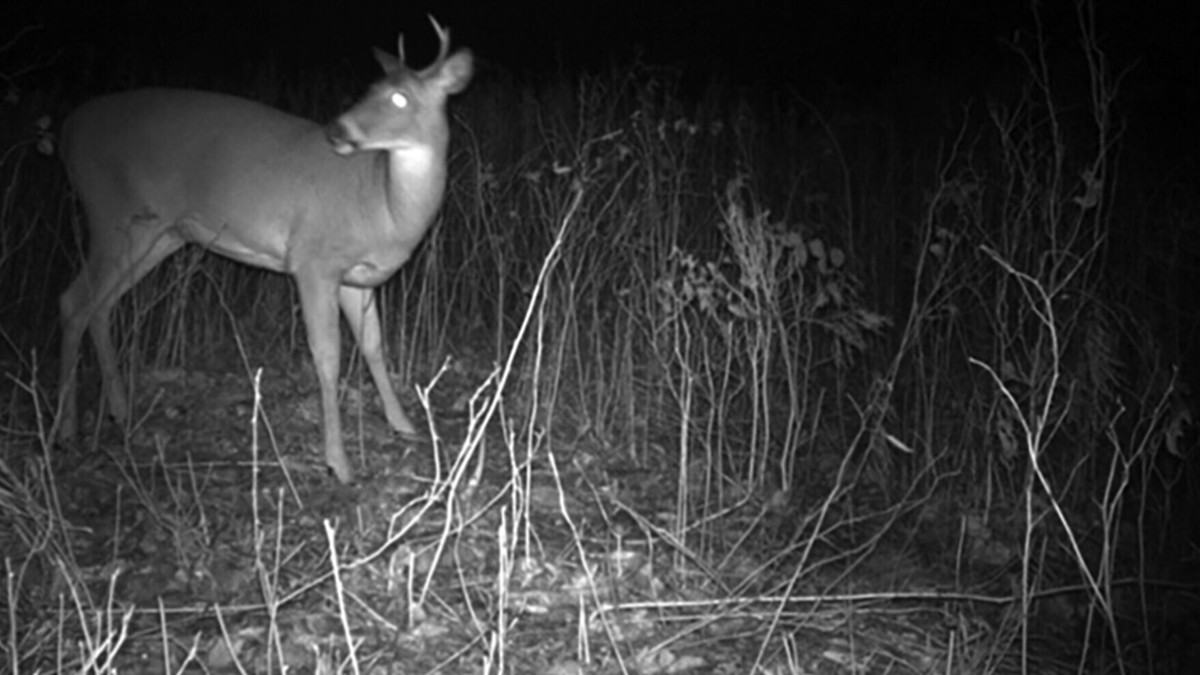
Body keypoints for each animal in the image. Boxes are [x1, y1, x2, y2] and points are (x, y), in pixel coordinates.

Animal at [57, 17, 473, 484]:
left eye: (400, 96)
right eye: (369, 89)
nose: (338, 131)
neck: (383, 206)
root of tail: (67, 130)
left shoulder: (358, 278)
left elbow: (374, 346)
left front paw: (405, 425)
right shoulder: (313, 260)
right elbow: (328, 356)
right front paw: (339, 462)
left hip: (160, 233)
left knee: (100, 306)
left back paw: (120, 412)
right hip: (111, 213)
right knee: (73, 301)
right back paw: (64, 430)